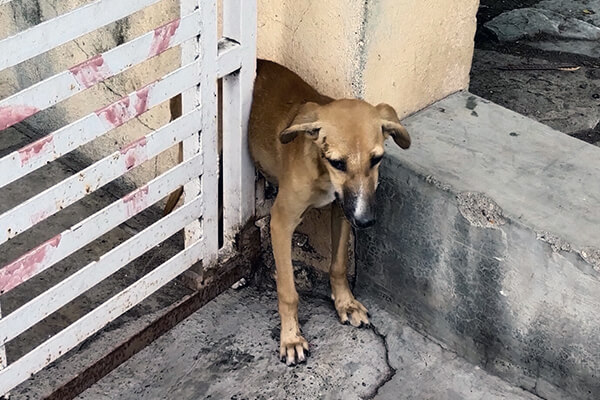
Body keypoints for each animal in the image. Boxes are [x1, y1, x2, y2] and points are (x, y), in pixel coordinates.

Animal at [164, 58, 410, 366]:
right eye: (337, 162)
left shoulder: (341, 210)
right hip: (214, 167)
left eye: (376, 159)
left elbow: (339, 265)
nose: (365, 221)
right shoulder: (281, 222)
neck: (320, 169)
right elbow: (288, 292)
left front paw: (346, 303)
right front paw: (291, 338)